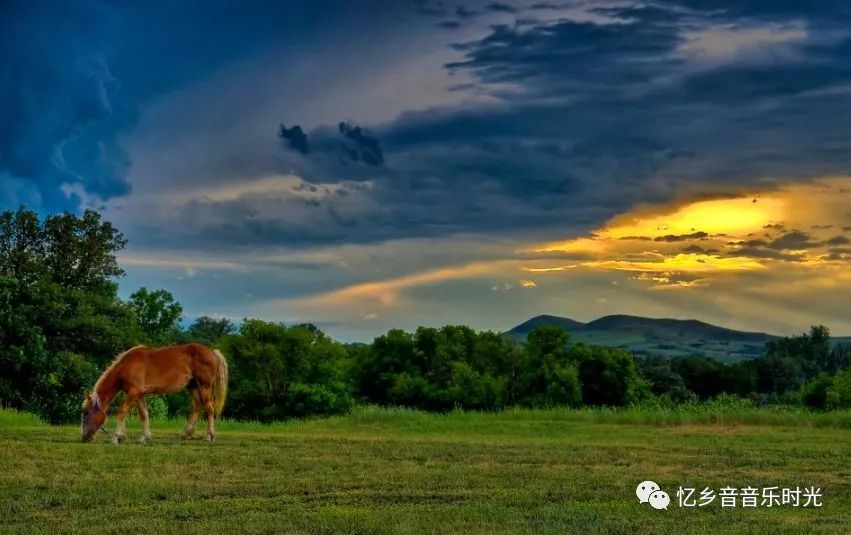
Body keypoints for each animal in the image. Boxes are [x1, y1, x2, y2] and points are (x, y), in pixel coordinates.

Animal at [81, 344, 228, 444]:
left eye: (86, 413)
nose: (84, 437)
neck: (126, 366)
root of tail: (212, 352)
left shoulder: (134, 392)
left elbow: (122, 411)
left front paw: (117, 437)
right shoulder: (139, 394)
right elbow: (144, 414)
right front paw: (144, 437)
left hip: (204, 386)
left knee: (209, 408)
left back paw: (209, 436)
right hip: (192, 386)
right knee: (197, 405)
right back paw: (186, 434)